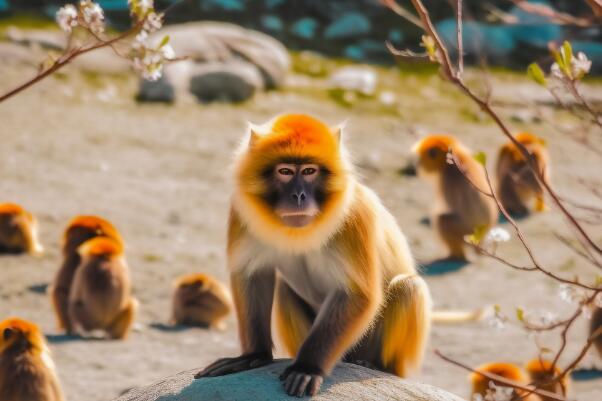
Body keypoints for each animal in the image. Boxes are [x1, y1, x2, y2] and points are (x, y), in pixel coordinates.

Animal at [195, 114, 428, 396]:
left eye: (309, 171)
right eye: (285, 171)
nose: (298, 196)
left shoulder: (354, 214)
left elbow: (357, 294)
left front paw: (307, 368)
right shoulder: (243, 209)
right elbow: (252, 274)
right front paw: (253, 355)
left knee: (408, 287)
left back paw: (375, 365)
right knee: (285, 289)